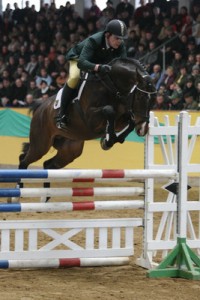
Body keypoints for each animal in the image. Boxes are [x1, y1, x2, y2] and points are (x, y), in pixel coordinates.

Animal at [18, 57, 156, 171]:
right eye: (140, 96)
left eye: (153, 100)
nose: (143, 129)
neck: (112, 86)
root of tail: (40, 108)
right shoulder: (91, 118)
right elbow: (109, 110)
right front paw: (108, 140)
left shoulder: (123, 118)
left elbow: (130, 122)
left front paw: (110, 140)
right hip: (41, 144)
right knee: (24, 160)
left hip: (70, 149)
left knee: (48, 164)